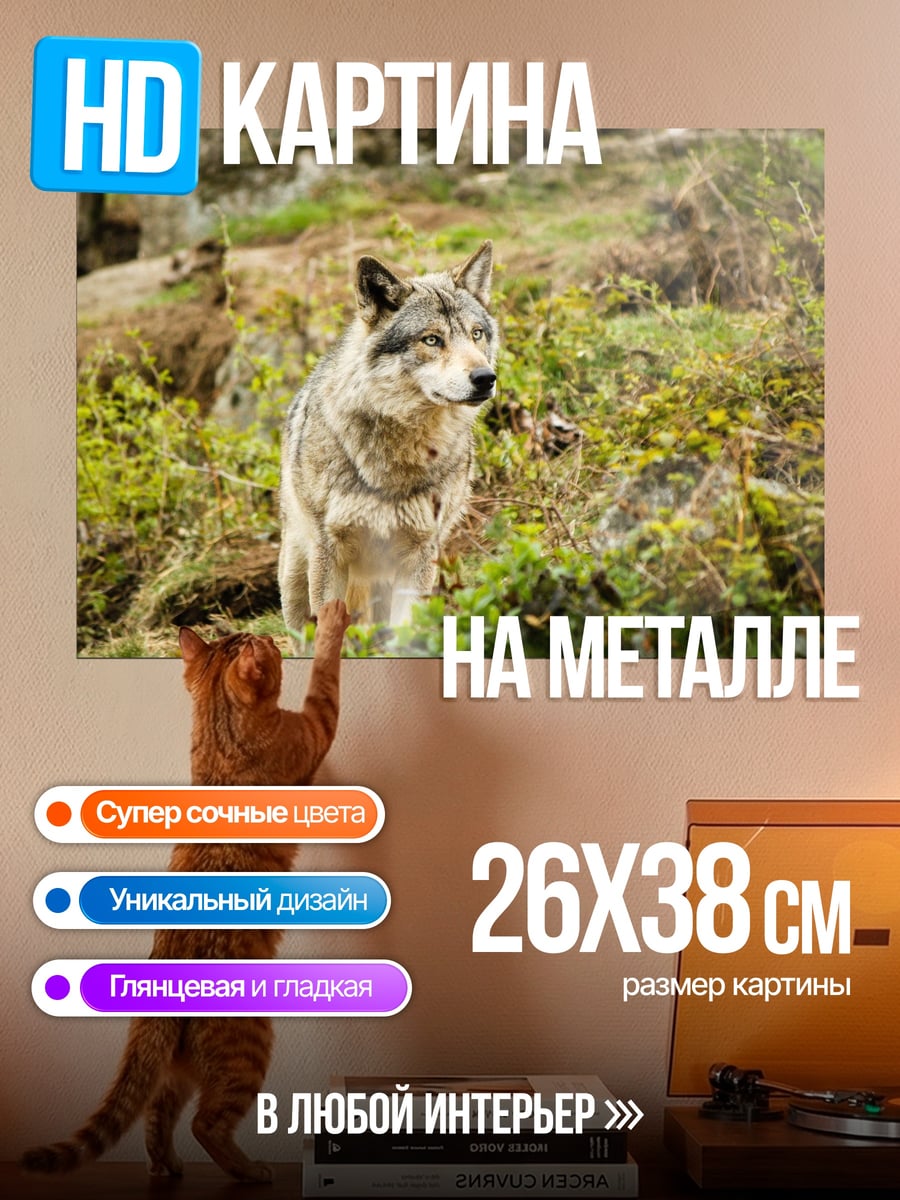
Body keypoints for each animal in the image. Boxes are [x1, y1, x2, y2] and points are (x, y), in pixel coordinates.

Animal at [279, 240, 497, 634]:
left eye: (476, 334)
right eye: (432, 340)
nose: (485, 378)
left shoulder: (420, 554)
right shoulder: (329, 552)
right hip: (295, 579)